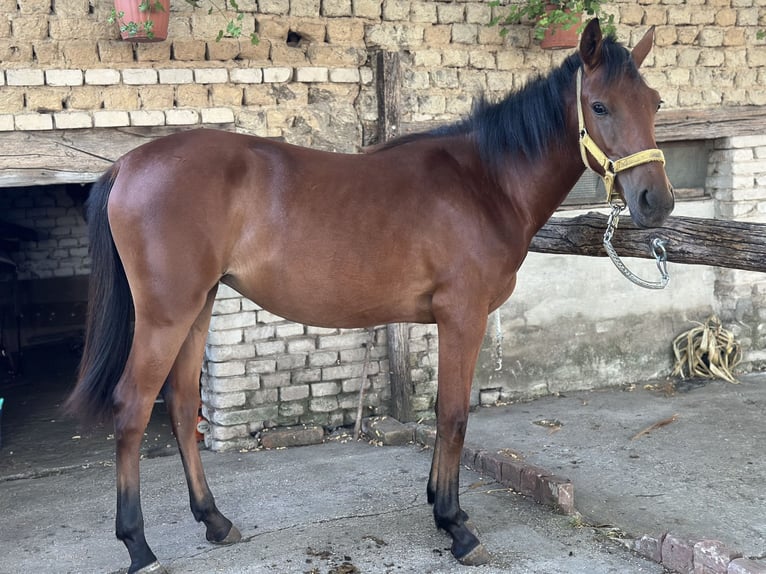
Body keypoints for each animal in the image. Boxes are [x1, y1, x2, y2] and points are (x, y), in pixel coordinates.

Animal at [70, 19, 672, 574]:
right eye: (599, 106)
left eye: (655, 103)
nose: (656, 201)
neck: (485, 183)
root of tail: (128, 164)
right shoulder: (463, 316)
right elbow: (453, 414)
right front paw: (456, 526)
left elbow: (442, 411)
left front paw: (443, 506)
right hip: (165, 315)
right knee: (132, 408)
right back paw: (139, 547)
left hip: (198, 308)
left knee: (180, 405)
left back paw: (215, 522)